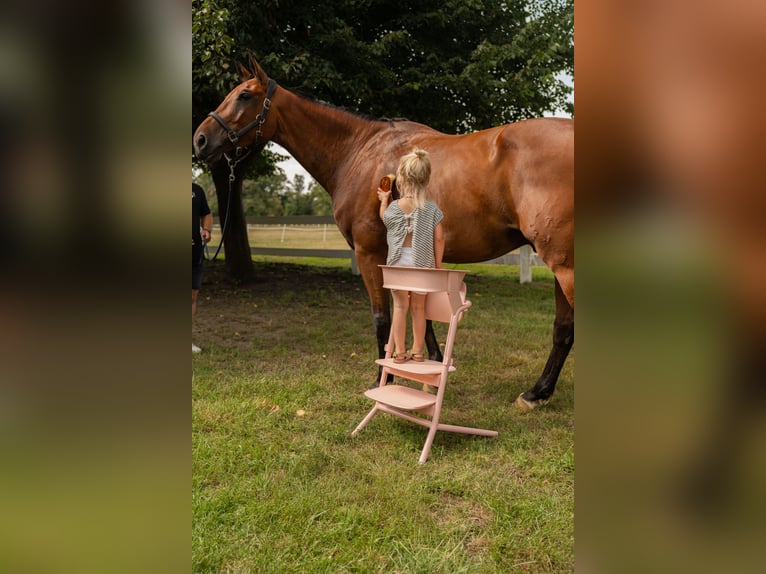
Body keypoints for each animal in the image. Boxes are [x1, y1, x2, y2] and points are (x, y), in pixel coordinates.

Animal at [195, 57, 572, 410]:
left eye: (244, 96)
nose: (200, 140)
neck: (358, 151)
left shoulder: (369, 253)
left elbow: (382, 317)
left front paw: (383, 379)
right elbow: (420, 314)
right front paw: (428, 371)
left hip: (563, 265)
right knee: (563, 330)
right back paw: (537, 393)